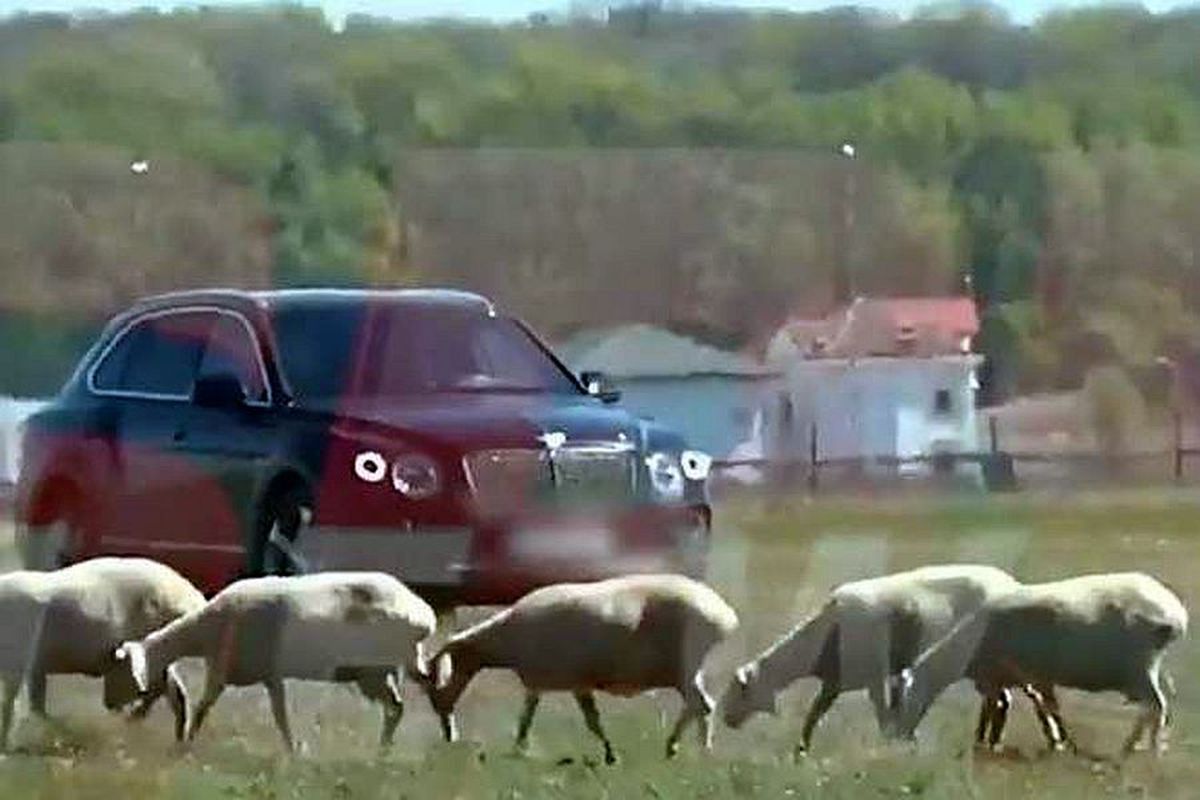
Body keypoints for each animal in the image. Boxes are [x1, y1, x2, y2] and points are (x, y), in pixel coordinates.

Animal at [0, 556, 204, 753]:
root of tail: (193, 596)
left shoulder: (18, 655)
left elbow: (10, 702)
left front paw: (6, 748)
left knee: (163, 689)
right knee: (171, 689)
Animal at [113, 568, 436, 753]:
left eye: (122, 670)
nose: (112, 707)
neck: (204, 632)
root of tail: (423, 616)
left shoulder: (222, 669)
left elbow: (204, 706)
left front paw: (186, 743)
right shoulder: (269, 674)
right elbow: (280, 715)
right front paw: (292, 749)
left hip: (373, 669)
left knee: (399, 705)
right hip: (381, 670)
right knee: (398, 706)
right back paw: (385, 751)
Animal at [422, 575, 739, 762]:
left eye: (437, 688)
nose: (448, 735)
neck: (505, 638)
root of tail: (724, 615)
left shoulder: (553, 680)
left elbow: (547, 719)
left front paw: (520, 749)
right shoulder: (564, 683)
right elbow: (575, 719)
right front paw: (609, 754)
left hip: (685, 665)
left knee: (702, 705)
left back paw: (689, 749)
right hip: (685, 672)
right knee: (701, 705)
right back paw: (684, 748)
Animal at [715, 563, 1056, 758]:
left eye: (740, 690)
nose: (726, 720)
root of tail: (1013, 585)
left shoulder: (876, 676)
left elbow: (885, 714)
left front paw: (894, 747)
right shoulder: (834, 683)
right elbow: (813, 715)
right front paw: (800, 751)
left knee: (1022, 696)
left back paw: (1044, 740)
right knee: (1001, 701)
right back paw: (987, 744)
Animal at [888, 568, 1185, 758]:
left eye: (899, 699)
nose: (895, 740)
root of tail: (1175, 613)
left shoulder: (998, 676)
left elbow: (1002, 709)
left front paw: (985, 743)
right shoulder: (1019, 678)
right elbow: (1036, 708)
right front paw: (1058, 741)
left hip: (1139, 667)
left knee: (1156, 707)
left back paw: (1139, 747)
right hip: (1148, 669)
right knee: (1156, 706)